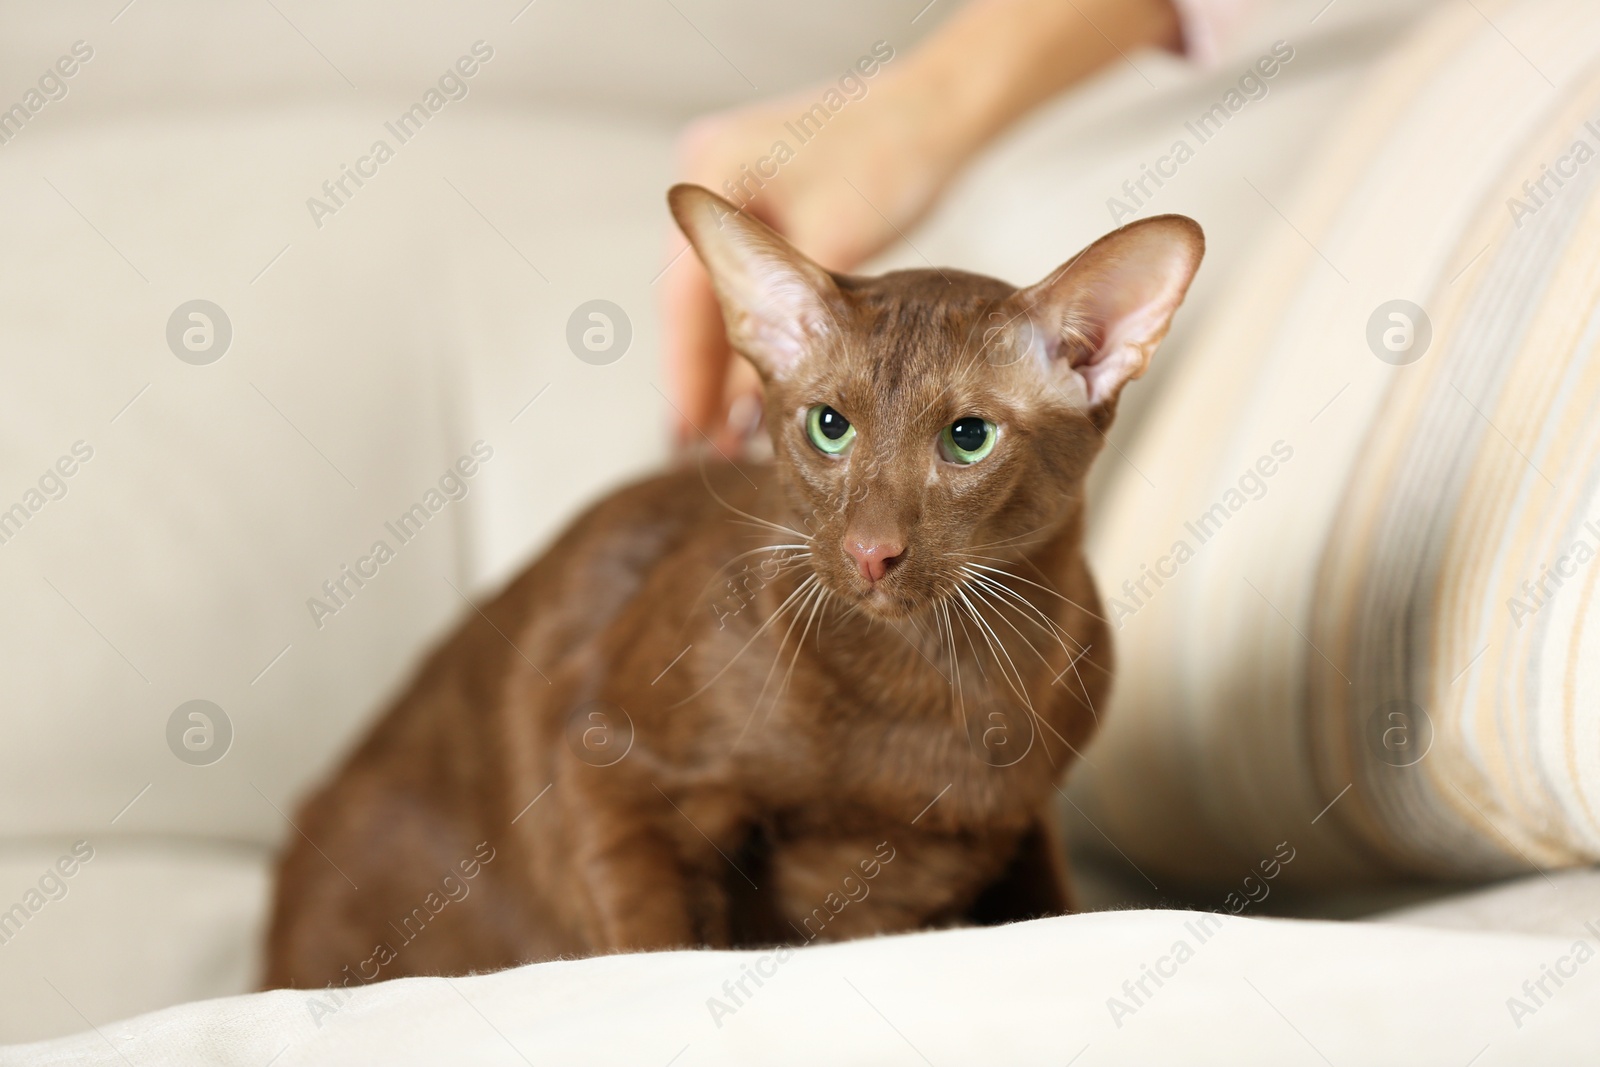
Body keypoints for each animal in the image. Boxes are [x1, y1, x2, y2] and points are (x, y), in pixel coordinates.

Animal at [265, 185, 1203, 991]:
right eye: (830, 427)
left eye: (968, 438)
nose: (871, 551)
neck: (940, 679)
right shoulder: (606, 762)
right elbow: (653, 943)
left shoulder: (1019, 824)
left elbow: (1053, 902)